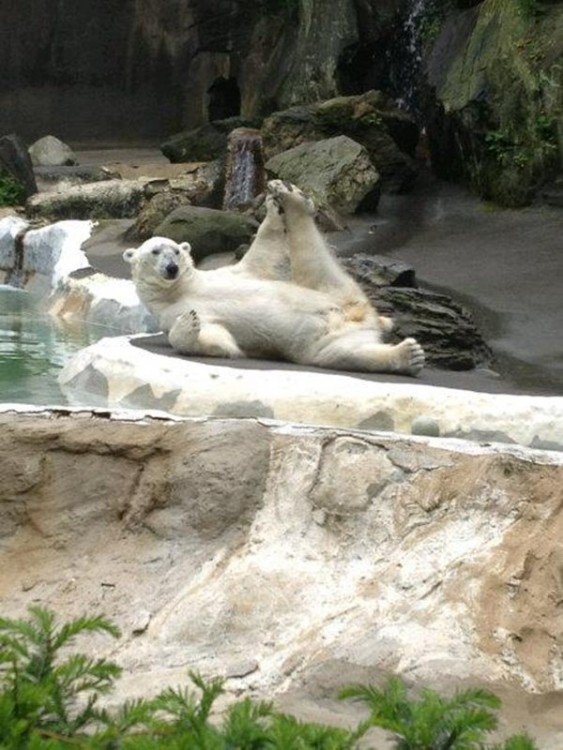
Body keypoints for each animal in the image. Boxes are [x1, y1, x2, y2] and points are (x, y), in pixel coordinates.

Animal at [123, 182, 424, 376]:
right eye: (155, 252)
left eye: (175, 250)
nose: (172, 268)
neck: (182, 288)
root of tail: (365, 318)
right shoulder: (169, 314)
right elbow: (218, 340)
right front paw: (189, 323)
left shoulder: (234, 273)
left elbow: (262, 256)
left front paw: (271, 208)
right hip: (328, 331)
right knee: (343, 353)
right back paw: (408, 356)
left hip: (334, 291)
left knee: (313, 259)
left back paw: (290, 196)